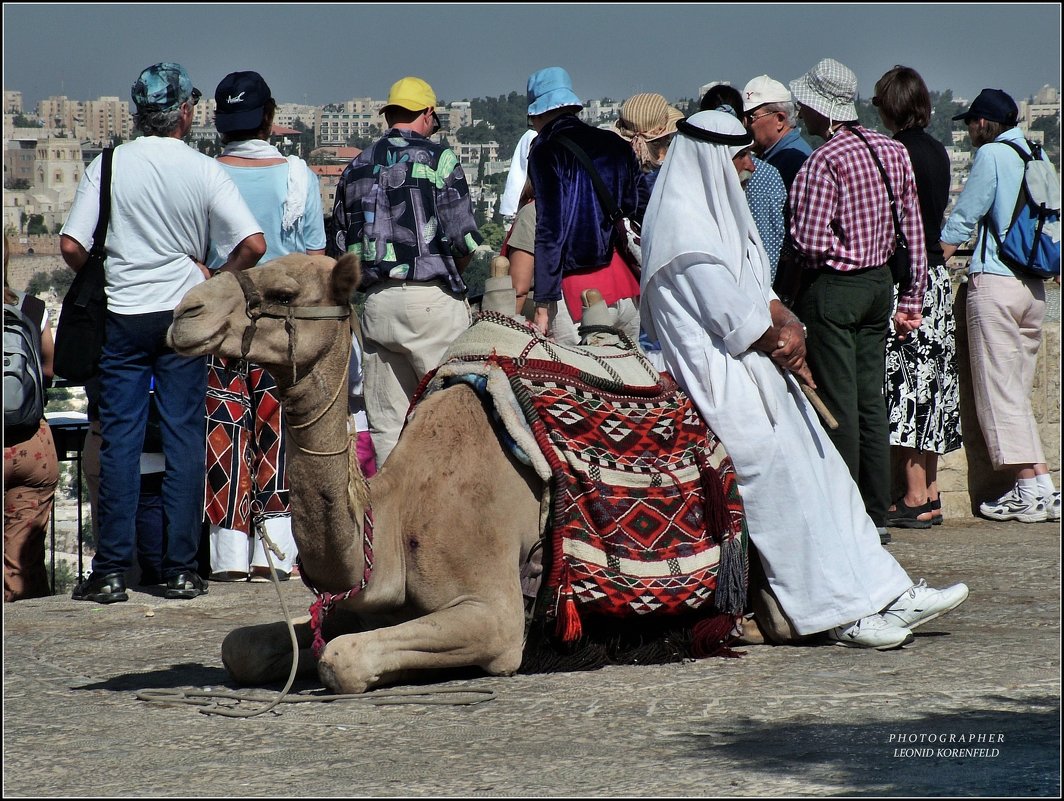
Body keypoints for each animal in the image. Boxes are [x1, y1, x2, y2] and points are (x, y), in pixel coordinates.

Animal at [170, 253, 744, 689]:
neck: (394, 516)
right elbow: (241, 647)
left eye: (285, 293)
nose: (185, 313)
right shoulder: (365, 604)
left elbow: (343, 658)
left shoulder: (495, 615)